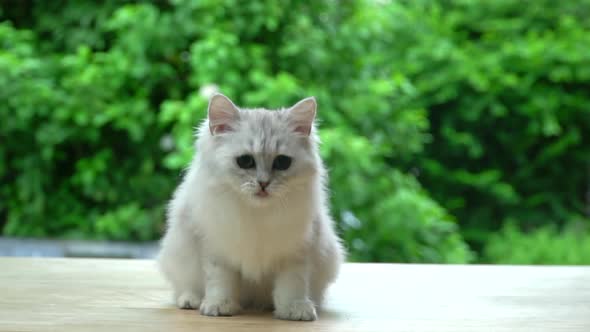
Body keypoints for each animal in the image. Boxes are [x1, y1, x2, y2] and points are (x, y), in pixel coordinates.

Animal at [157, 93, 344, 322]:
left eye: (282, 162)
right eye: (245, 161)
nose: (263, 183)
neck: (257, 213)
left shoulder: (295, 252)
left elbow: (292, 285)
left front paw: (294, 310)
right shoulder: (217, 249)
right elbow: (220, 283)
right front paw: (219, 306)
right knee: (184, 288)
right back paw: (190, 301)